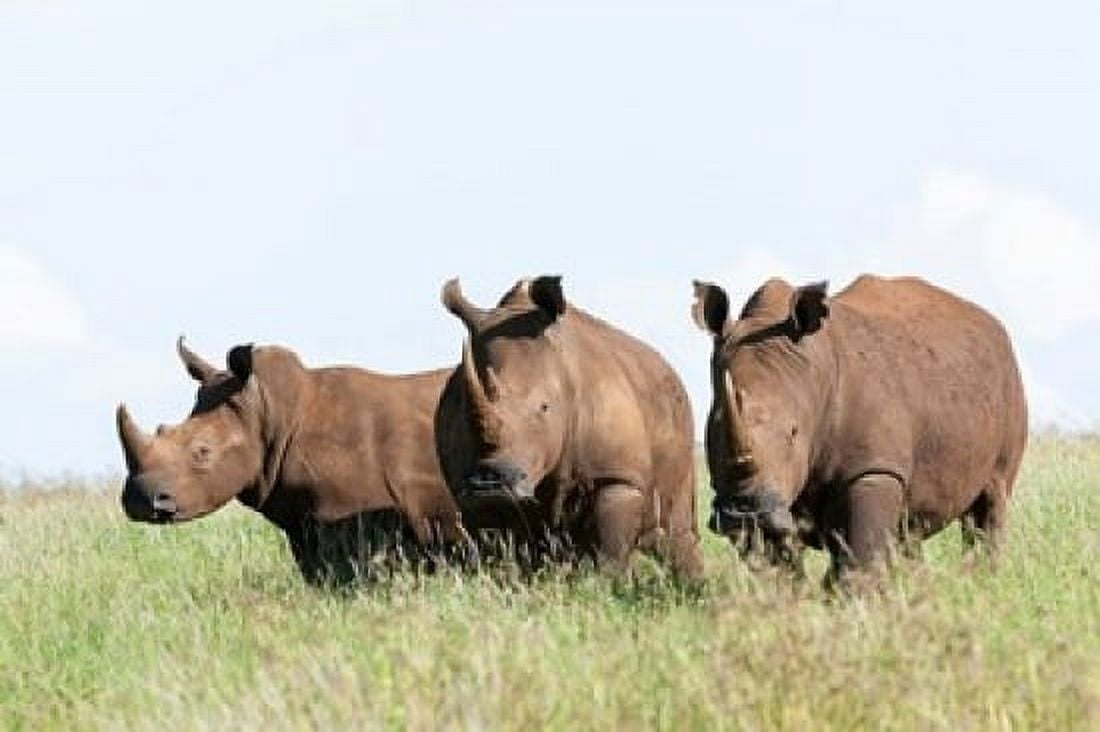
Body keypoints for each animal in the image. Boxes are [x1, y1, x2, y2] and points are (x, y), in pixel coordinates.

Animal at [434, 276, 703, 580]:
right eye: (464, 414)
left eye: (545, 407)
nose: (490, 481)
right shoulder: (469, 491)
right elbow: (502, 548)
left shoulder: (617, 475)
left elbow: (611, 550)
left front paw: (611, 586)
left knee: (675, 529)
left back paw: (692, 582)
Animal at [692, 275, 1027, 579]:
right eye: (712, 433)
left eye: (794, 432)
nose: (744, 510)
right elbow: (774, 563)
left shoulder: (874, 469)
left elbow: (859, 557)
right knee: (909, 528)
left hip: (1008, 381)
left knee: (990, 504)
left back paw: (982, 580)